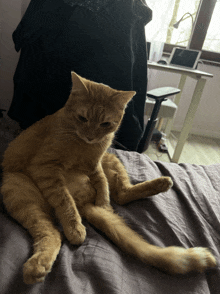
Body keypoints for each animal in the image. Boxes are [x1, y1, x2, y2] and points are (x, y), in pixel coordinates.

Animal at [0, 70, 216, 282]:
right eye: (82, 118)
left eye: (105, 124)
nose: (90, 136)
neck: (83, 146)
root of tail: (84, 202)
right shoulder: (45, 167)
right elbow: (65, 201)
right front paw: (75, 226)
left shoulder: (97, 163)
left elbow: (102, 183)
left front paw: (103, 202)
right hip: (18, 189)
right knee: (52, 231)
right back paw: (40, 264)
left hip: (111, 160)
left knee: (121, 195)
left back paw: (161, 183)